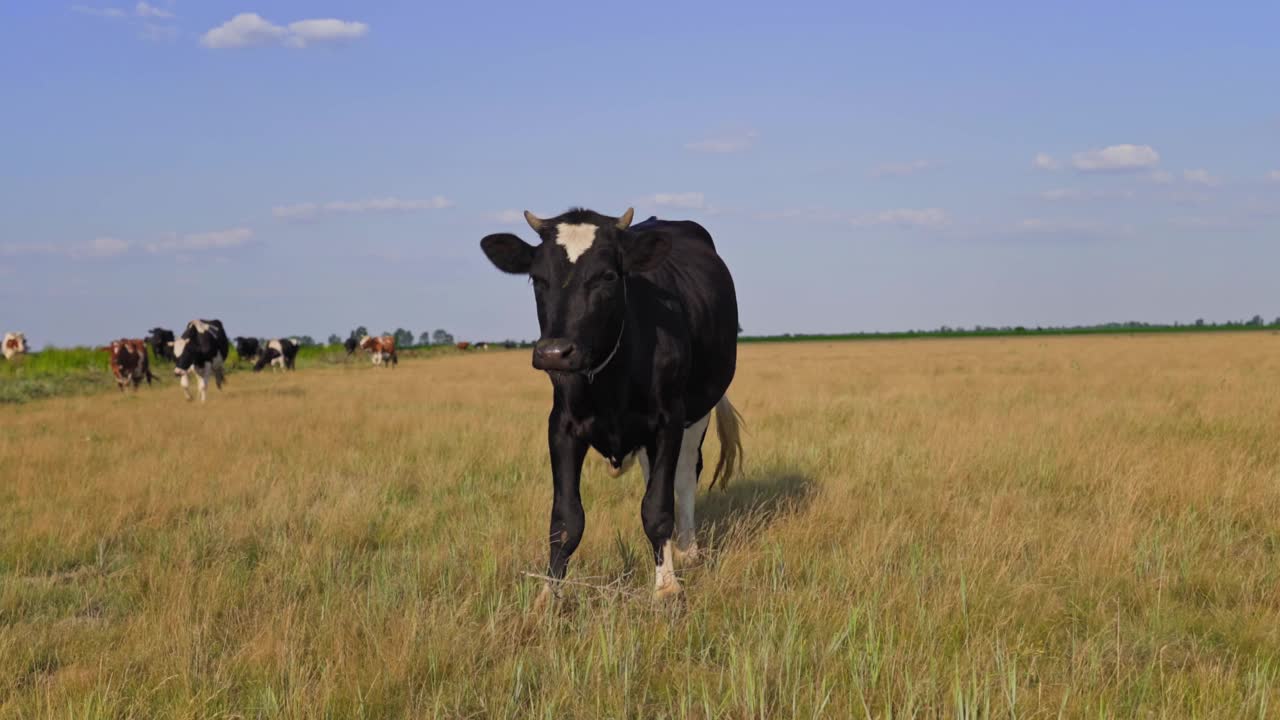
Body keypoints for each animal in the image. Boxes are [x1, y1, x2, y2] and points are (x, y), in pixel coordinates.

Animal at [478, 204, 742, 602]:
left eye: (606, 276)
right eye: (537, 278)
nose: (554, 353)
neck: (611, 379)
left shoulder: (669, 419)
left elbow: (658, 507)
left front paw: (667, 586)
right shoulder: (562, 426)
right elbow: (566, 519)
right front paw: (549, 595)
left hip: (698, 411)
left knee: (684, 476)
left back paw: (687, 550)